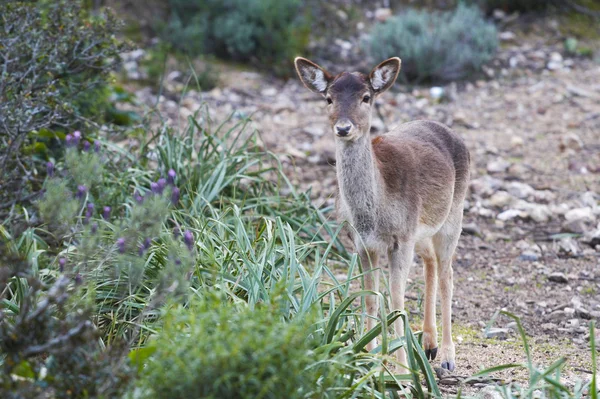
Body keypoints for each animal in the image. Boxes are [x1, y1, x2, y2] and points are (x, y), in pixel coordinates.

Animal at [294, 56, 468, 372]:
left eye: (366, 97)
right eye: (328, 98)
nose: (344, 127)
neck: (373, 217)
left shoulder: (400, 240)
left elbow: (397, 301)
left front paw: (402, 370)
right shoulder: (363, 244)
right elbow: (370, 298)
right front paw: (369, 358)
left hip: (453, 216)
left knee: (448, 273)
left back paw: (448, 357)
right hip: (421, 231)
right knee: (431, 263)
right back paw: (429, 345)